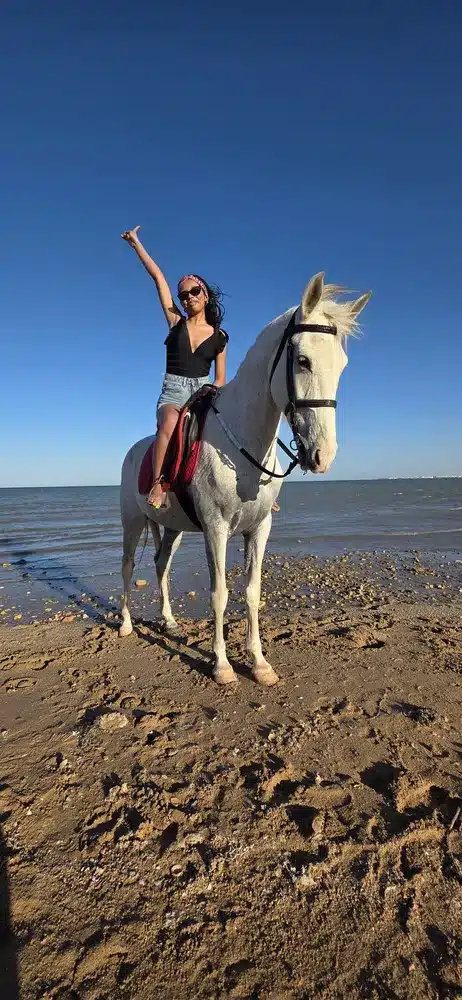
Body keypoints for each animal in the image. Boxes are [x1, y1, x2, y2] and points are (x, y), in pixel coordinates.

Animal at [119, 272, 371, 685]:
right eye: (303, 360)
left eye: (343, 366)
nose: (323, 455)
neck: (240, 442)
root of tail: (137, 449)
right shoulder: (216, 528)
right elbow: (219, 593)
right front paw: (222, 665)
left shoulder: (259, 527)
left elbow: (252, 591)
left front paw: (259, 663)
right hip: (132, 521)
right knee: (127, 566)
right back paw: (125, 624)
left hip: (171, 528)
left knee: (160, 564)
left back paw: (168, 621)